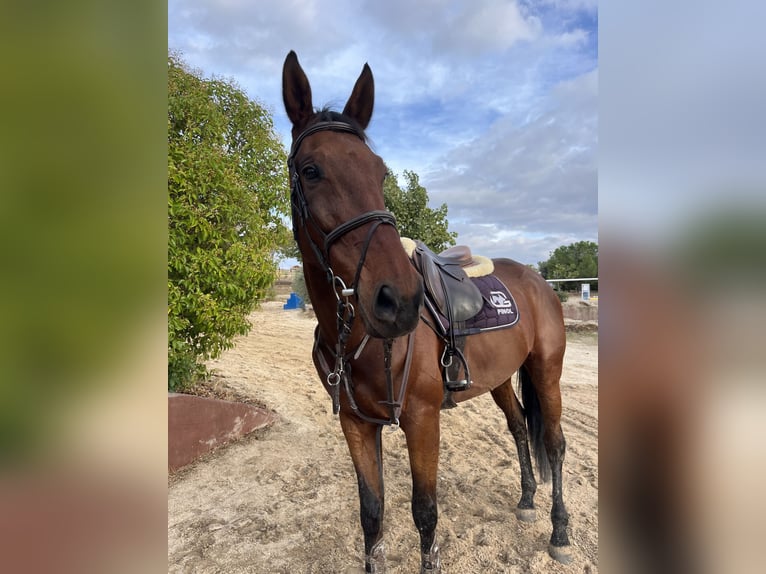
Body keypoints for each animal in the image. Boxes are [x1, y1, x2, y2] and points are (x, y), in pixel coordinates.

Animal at [282, 51, 570, 573]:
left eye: (379, 172)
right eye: (310, 170)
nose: (399, 300)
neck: (358, 337)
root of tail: (539, 281)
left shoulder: (421, 418)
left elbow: (425, 514)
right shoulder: (355, 424)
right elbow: (372, 514)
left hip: (546, 371)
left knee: (554, 445)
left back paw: (559, 532)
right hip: (501, 378)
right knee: (520, 429)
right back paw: (526, 501)